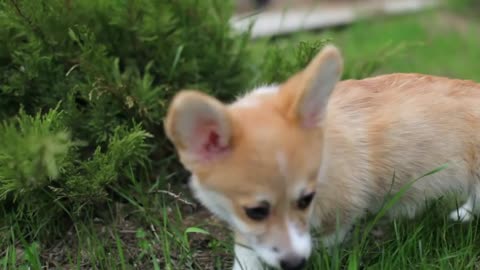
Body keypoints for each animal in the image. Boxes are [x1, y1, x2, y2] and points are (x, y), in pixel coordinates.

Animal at [164, 44, 480, 270]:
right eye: (256, 211)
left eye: (306, 200)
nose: (295, 264)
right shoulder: (245, 227)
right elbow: (248, 252)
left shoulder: (341, 209)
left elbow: (328, 238)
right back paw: (462, 215)